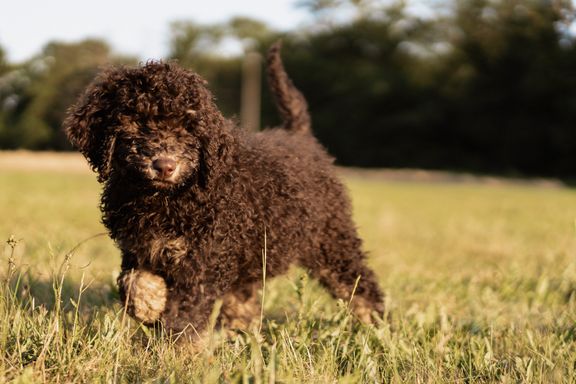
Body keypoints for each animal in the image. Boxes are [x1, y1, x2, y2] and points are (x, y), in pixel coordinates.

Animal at [65, 42, 384, 336]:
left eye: (188, 127)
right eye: (138, 122)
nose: (165, 165)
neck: (165, 196)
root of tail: (301, 138)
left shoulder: (204, 257)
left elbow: (185, 312)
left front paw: (176, 348)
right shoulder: (139, 246)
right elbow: (131, 281)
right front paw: (149, 305)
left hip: (331, 239)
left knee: (359, 286)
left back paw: (376, 327)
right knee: (243, 299)